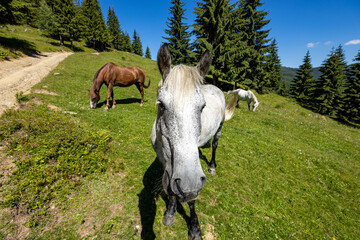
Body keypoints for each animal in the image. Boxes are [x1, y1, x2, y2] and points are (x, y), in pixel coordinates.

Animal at [150, 44, 236, 238]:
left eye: (202, 107)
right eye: (161, 104)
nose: (190, 182)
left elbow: (191, 201)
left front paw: (195, 228)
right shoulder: (167, 165)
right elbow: (173, 190)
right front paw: (170, 212)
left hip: (219, 129)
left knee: (215, 145)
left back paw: (212, 166)